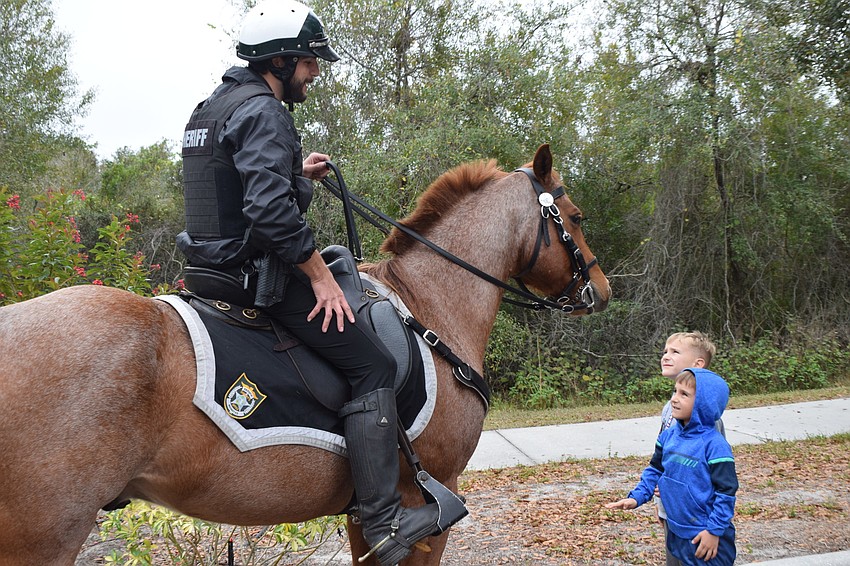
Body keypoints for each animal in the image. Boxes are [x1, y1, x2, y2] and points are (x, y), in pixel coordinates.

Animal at [0, 144, 610, 565]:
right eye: (576, 217)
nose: (600, 291)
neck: (430, 303)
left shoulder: (369, 515)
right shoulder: (430, 500)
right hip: (45, 535)